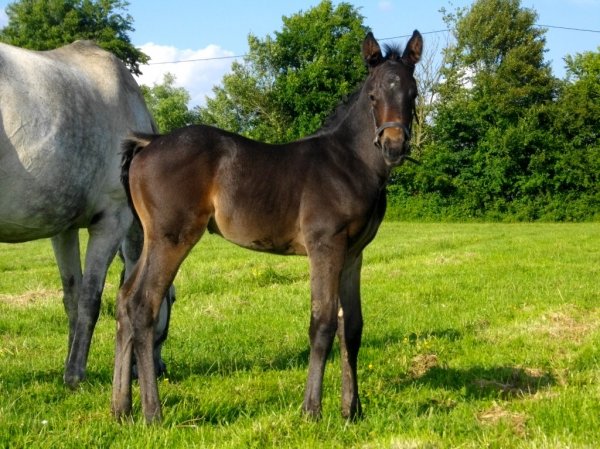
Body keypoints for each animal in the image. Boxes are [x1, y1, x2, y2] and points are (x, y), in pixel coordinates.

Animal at [0, 40, 173, 386]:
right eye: (172, 299)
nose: (158, 369)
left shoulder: (63, 229)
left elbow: (71, 296)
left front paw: (70, 362)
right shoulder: (112, 222)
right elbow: (90, 300)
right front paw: (75, 375)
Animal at [112, 29, 422, 422]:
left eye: (413, 93)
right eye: (372, 95)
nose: (393, 146)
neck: (349, 162)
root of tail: (148, 141)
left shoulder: (353, 254)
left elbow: (351, 327)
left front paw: (352, 412)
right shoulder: (325, 246)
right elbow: (322, 322)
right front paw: (312, 410)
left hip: (151, 239)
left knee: (123, 301)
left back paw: (121, 409)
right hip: (172, 238)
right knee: (142, 305)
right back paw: (153, 413)